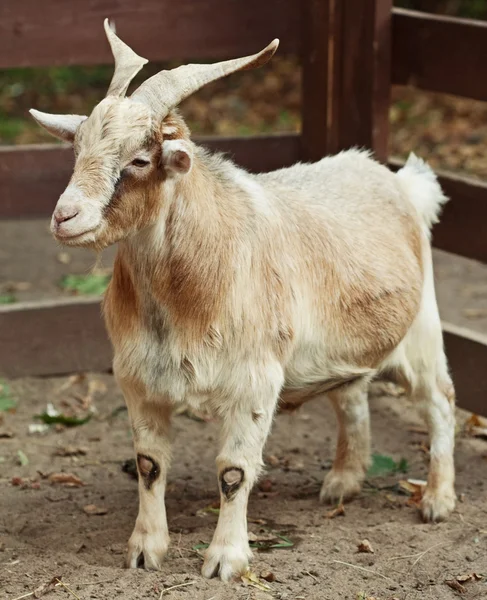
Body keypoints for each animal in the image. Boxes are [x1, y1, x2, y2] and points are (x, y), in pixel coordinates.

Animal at [31, 21, 458, 584]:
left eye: (140, 159)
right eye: (77, 148)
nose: (65, 217)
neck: (183, 296)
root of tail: (403, 183)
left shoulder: (254, 381)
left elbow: (233, 472)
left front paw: (225, 559)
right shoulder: (139, 381)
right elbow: (149, 465)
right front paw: (145, 550)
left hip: (422, 331)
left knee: (440, 402)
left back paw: (438, 499)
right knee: (352, 396)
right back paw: (343, 481)